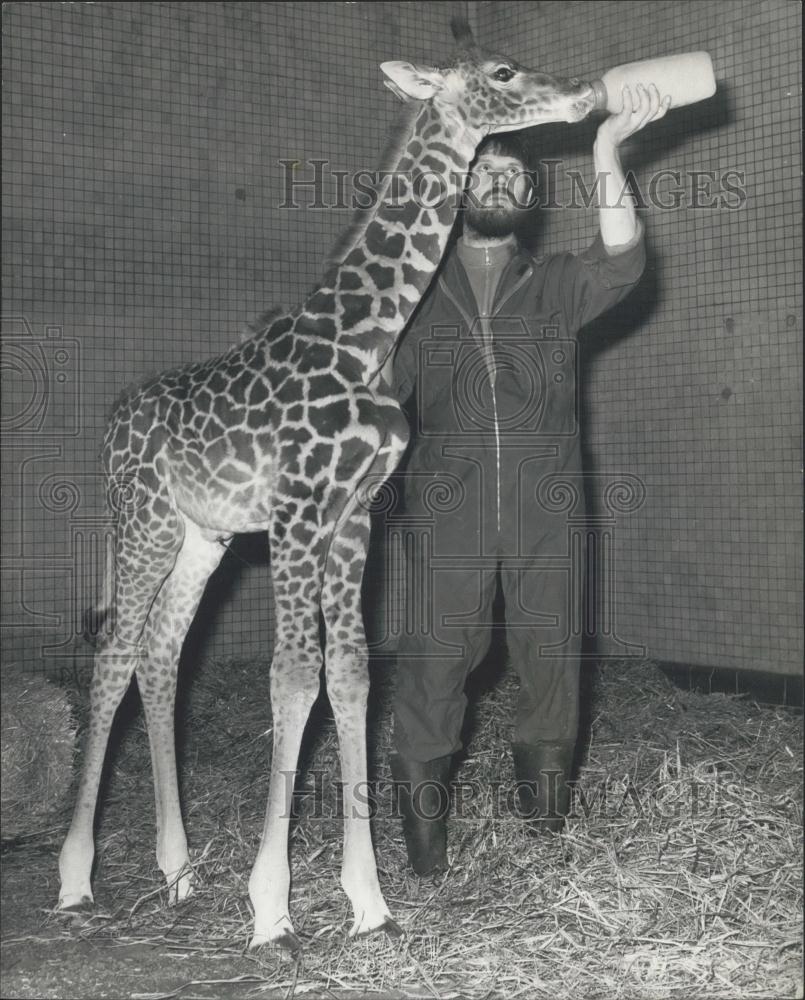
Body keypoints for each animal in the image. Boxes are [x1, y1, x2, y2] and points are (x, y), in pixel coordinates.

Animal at [58, 19, 596, 948]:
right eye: (500, 70)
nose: (583, 93)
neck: (366, 337)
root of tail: (109, 425)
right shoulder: (298, 508)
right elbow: (291, 676)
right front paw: (271, 903)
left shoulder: (353, 515)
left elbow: (348, 675)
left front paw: (368, 899)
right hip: (143, 519)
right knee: (117, 651)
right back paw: (74, 877)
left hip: (202, 538)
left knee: (161, 655)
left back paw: (178, 870)